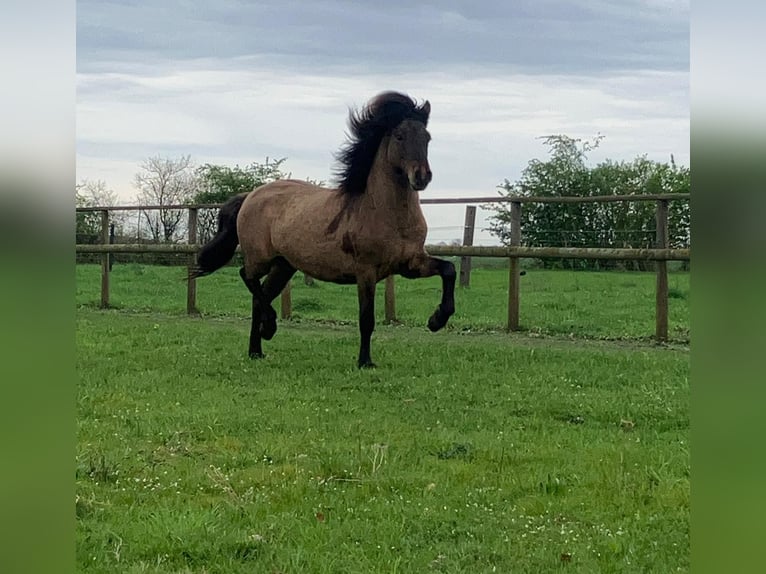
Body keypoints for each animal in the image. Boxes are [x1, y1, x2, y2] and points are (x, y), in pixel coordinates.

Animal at [190, 91, 456, 368]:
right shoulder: (366, 271)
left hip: (284, 265)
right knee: (247, 277)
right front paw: (365, 362)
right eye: (399, 136)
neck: (383, 212)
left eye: (427, 137)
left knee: (259, 296)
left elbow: (449, 269)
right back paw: (269, 327)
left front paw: (436, 320)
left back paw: (257, 350)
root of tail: (250, 195)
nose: (421, 177)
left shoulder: (409, 264)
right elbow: (366, 319)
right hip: (261, 258)